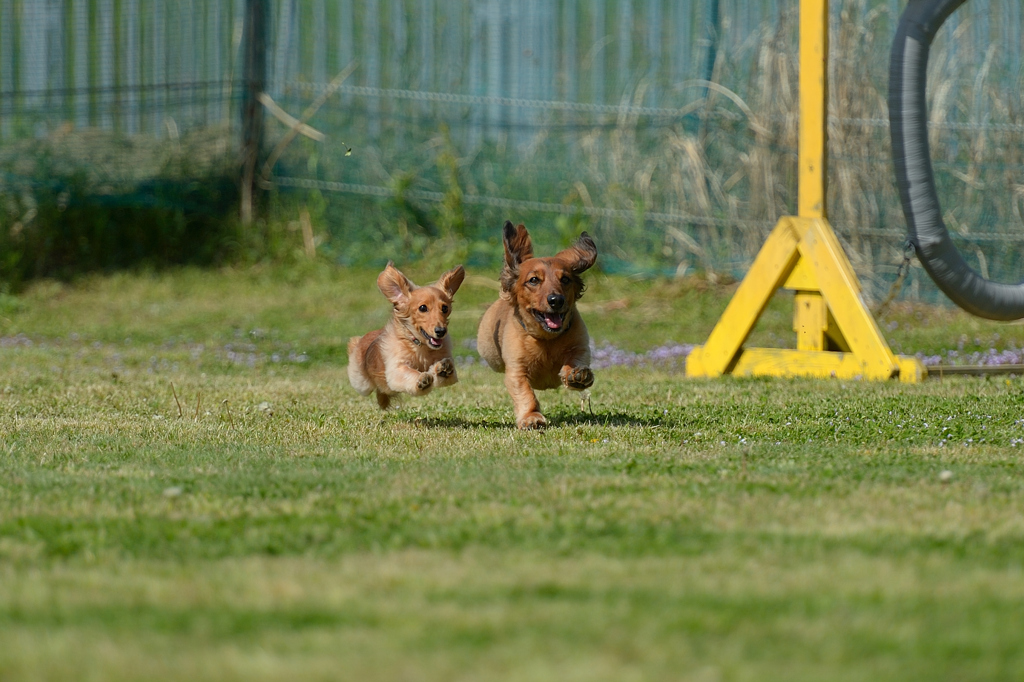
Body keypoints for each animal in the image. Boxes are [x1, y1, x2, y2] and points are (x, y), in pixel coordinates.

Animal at [350, 261, 466, 409]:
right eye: (423, 308)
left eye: (444, 308)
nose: (441, 331)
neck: (421, 347)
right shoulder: (396, 369)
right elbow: (409, 373)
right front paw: (422, 380)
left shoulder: (449, 367)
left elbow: (447, 372)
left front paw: (443, 370)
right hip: (361, 383)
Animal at [479, 220, 598, 428]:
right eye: (534, 280)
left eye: (565, 279)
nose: (556, 300)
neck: (547, 340)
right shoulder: (516, 370)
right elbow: (525, 393)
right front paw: (531, 417)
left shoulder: (580, 345)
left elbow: (576, 359)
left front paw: (577, 375)